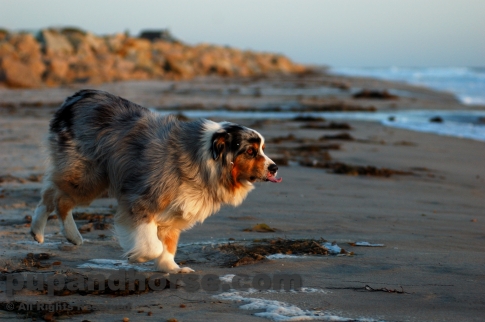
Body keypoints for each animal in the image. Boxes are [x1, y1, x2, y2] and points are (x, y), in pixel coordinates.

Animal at [29, 89, 280, 272]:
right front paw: (137, 257)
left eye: (263, 149)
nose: (275, 167)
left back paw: (44, 233)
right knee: (57, 197)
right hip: (89, 176)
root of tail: (77, 97)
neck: (205, 158)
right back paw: (62, 234)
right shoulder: (142, 201)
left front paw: (171, 268)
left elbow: (168, 245)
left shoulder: (176, 215)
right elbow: (153, 246)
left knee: (51, 191)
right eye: (250, 151)